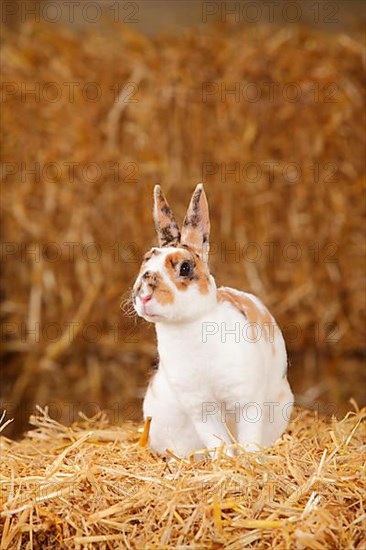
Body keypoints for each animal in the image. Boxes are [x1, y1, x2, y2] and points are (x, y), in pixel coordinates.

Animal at [132, 183, 294, 460]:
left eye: (185, 268)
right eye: (146, 261)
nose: (143, 295)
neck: (189, 325)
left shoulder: (246, 401)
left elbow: (248, 437)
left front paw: (249, 461)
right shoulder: (200, 408)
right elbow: (217, 441)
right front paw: (225, 462)